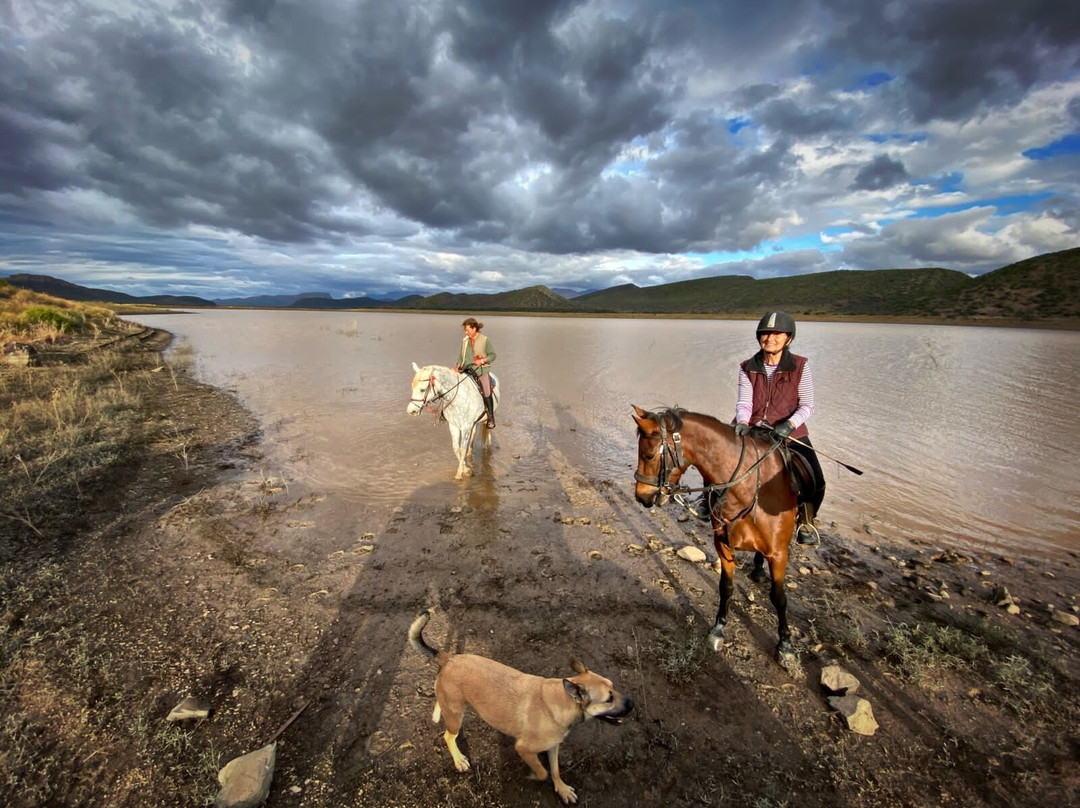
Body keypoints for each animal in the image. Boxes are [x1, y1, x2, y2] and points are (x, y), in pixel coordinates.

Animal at [410, 604, 630, 803]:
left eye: (613, 687)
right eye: (609, 698)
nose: (633, 703)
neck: (561, 701)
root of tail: (448, 657)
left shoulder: (553, 746)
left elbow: (555, 770)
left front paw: (562, 789)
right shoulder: (524, 749)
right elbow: (543, 772)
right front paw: (533, 776)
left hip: (452, 705)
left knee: (440, 705)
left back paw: (437, 713)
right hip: (456, 718)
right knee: (448, 736)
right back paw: (458, 759)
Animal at [630, 404, 799, 661]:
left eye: (648, 456)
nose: (641, 496)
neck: (750, 488)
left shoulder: (779, 554)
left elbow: (779, 598)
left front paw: (786, 645)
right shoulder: (724, 544)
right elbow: (726, 587)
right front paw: (718, 629)